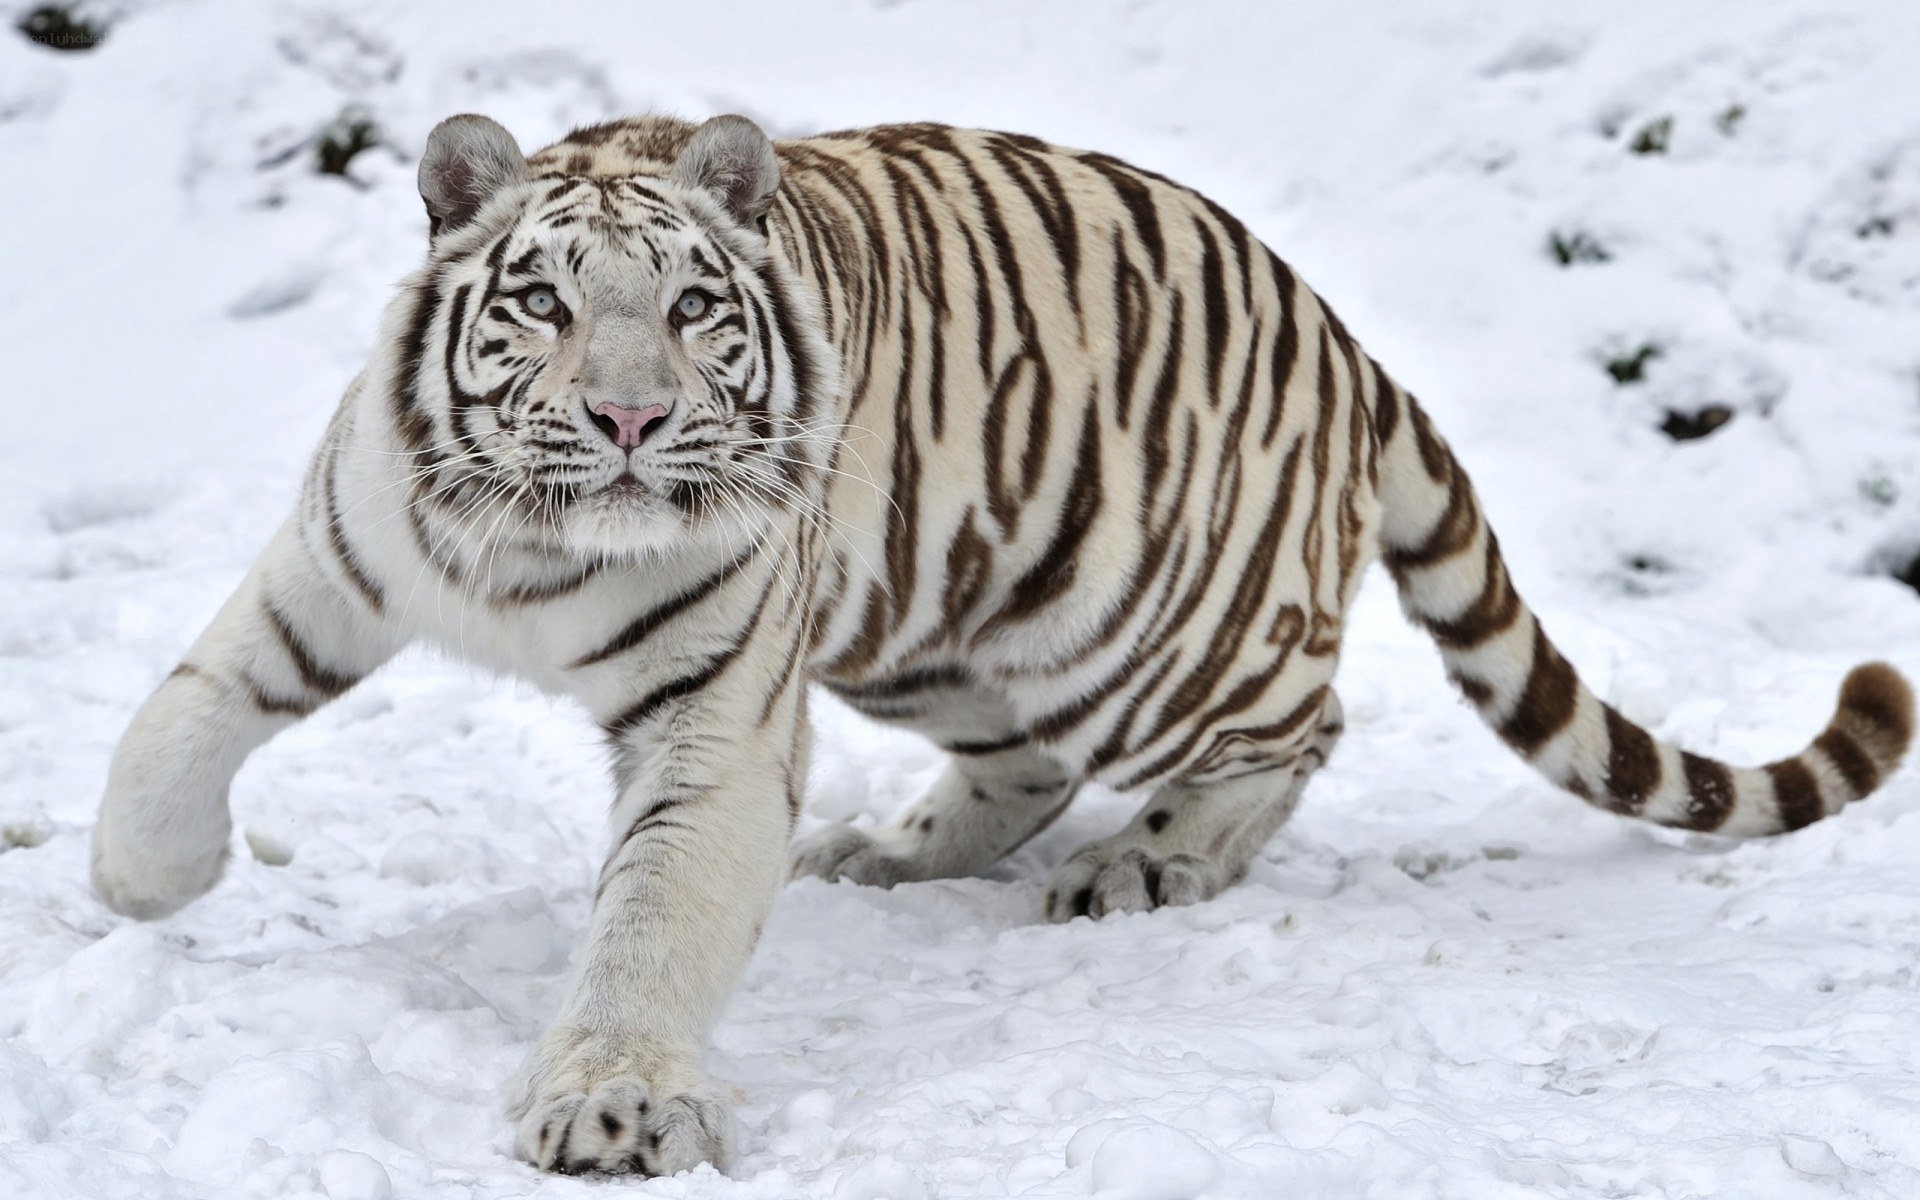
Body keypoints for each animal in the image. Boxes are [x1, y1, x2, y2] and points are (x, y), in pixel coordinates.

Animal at [89, 111, 1913, 1177]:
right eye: (539, 302)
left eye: (690, 309)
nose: (628, 419)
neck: (537, 548)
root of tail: (1344, 336)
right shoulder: (339, 559)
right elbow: (184, 706)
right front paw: (143, 882)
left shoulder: (713, 722)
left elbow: (649, 926)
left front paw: (614, 1103)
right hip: (937, 620)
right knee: (1023, 761)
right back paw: (893, 854)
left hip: (1153, 627)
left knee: (1302, 725)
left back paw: (1147, 864)